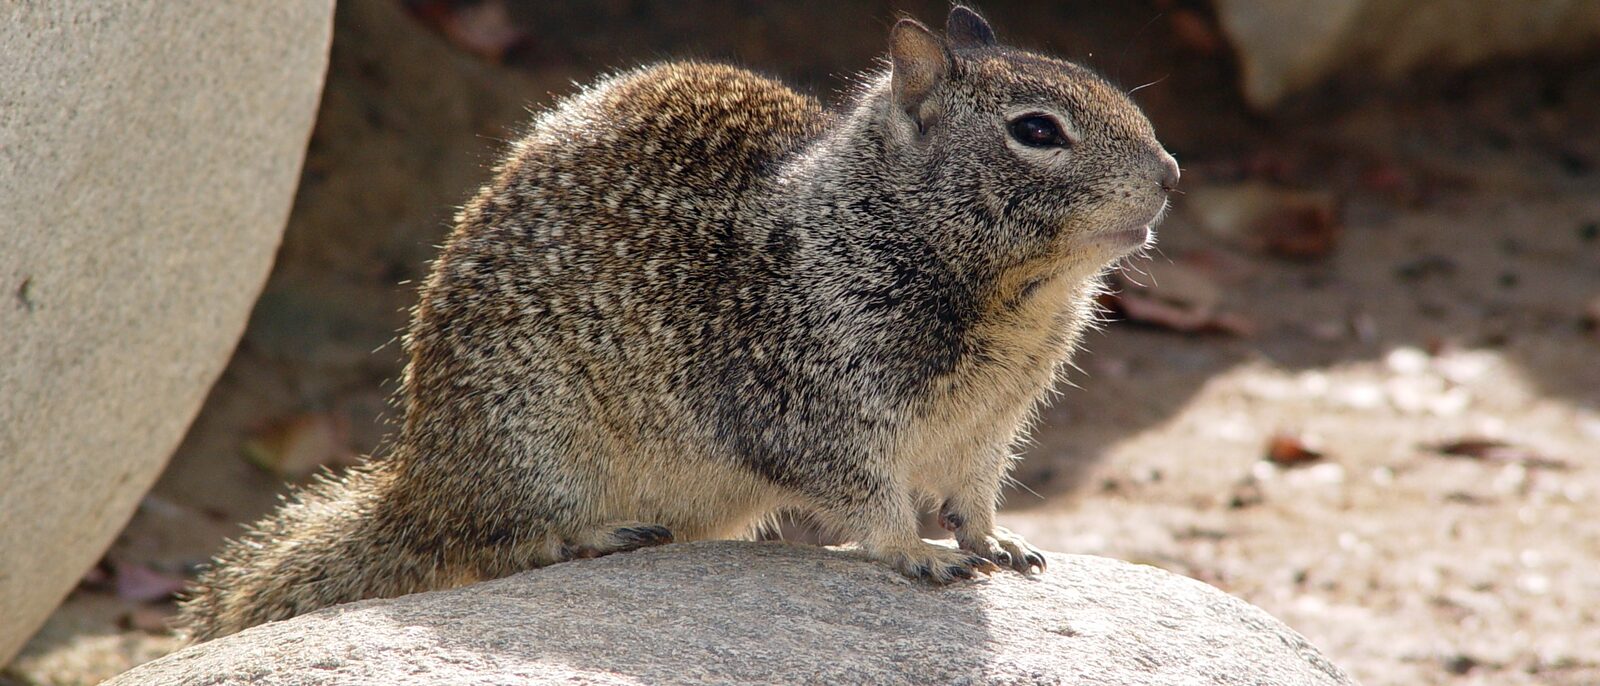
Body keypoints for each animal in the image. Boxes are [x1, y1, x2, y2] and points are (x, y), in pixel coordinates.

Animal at [177, 6, 1178, 641]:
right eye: (1037, 131)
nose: (1170, 173)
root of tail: (417, 484)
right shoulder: (813, 405)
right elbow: (869, 498)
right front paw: (913, 553)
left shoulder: (989, 428)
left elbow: (972, 496)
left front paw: (993, 542)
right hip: (533, 445)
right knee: (499, 546)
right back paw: (597, 536)